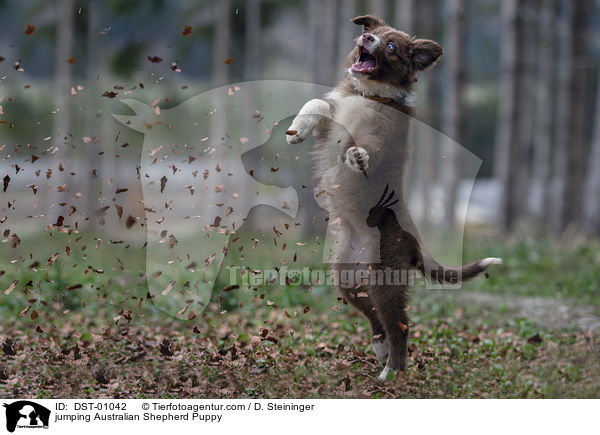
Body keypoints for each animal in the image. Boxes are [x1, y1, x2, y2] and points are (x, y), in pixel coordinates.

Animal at [288, 14, 502, 382]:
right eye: (370, 33)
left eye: (390, 46)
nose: (367, 38)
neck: (371, 95)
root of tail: (415, 244)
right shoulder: (334, 114)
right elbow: (319, 103)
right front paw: (297, 129)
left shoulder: (384, 136)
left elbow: (369, 147)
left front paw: (357, 157)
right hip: (348, 279)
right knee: (375, 316)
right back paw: (380, 347)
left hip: (385, 279)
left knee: (400, 324)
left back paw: (392, 372)